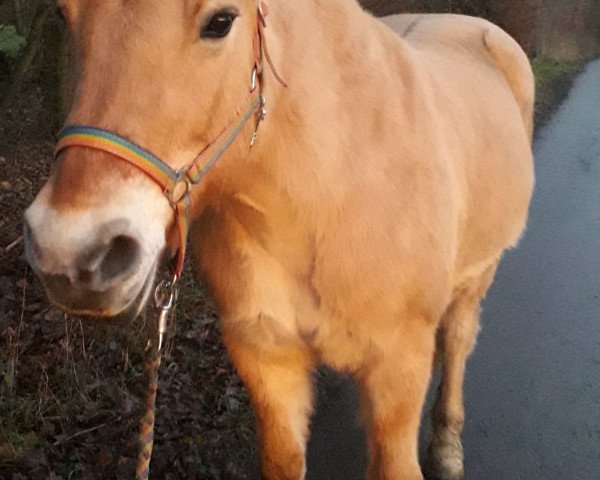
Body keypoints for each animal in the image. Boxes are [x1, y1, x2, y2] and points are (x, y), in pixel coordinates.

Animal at [25, 0, 536, 480]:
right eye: (64, 14)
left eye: (221, 20)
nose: (67, 250)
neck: (330, 199)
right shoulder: (267, 360)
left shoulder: (399, 366)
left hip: (477, 277)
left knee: (458, 338)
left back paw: (447, 446)